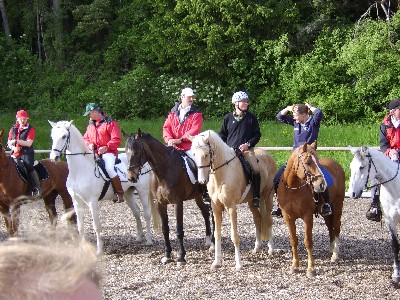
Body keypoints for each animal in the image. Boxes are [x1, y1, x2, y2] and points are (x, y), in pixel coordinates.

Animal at [48, 120, 156, 254]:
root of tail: (144, 165)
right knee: (136, 212)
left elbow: (97, 226)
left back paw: (149, 240)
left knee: (146, 213)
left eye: (64, 136)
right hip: (128, 193)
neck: (80, 170)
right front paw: (81, 248)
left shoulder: (92, 201)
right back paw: (139, 237)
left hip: (142, 191)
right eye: (52, 136)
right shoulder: (77, 201)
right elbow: (80, 226)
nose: (53, 157)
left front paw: (99, 250)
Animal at [124, 130, 212, 266]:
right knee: (205, 212)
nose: (130, 177)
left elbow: (179, 230)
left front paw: (181, 257)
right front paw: (167, 255)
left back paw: (213, 243)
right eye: (126, 152)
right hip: (197, 196)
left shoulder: (178, 203)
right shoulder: (161, 204)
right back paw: (208, 240)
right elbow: (165, 229)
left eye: (136, 151)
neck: (165, 171)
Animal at [190, 129, 276, 270]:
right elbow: (217, 234)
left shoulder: (231, 207)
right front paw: (216, 262)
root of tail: (268, 156)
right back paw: (257, 247)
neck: (222, 175)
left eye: (206, 154)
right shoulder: (216, 207)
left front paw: (239, 264)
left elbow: (235, 236)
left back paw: (271, 249)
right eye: (194, 155)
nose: (202, 180)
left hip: (267, 196)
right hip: (252, 202)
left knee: (268, 220)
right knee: (258, 219)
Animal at [276, 142, 346, 278]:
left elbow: (308, 241)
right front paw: (295, 266)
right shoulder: (288, 217)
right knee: (330, 226)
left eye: (317, 161)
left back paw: (335, 254)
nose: (321, 184)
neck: (293, 189)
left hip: (338, 205)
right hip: (326, 213)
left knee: (336, 227)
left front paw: (310, 269)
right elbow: (293, 240)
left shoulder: (307, 216)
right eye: (307, 162)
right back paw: (331, 250)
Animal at [346, 146, 400, 284]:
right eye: (351, 166)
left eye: (361, 167)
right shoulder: (390, 221)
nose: (352, 193)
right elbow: (395, 245)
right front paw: (396, 274)